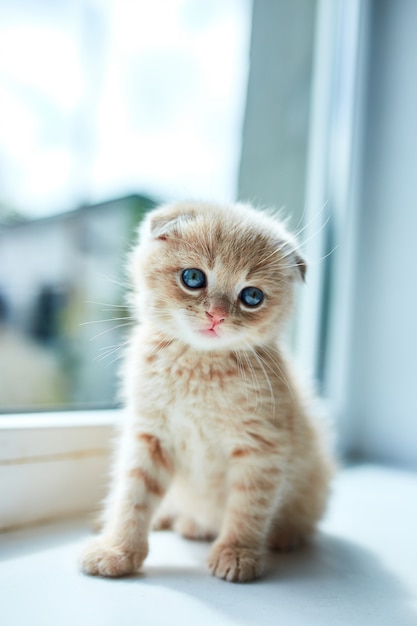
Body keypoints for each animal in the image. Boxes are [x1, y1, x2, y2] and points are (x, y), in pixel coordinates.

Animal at [79, 199, 334, 580]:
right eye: (193, 278)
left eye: (252, 296)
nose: (216, 315)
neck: (200, 369)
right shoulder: (149, 436)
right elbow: (132, 497)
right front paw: (118, 549)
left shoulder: (262, 448)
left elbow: (248, 506)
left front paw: (237, 553)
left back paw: (282, 535)